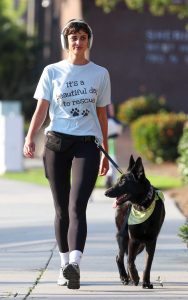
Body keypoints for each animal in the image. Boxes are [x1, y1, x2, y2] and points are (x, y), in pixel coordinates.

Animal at [105, 155, 165, 288]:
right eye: (117, 180)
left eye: (123, 181)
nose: (106, 192)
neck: (142, 205)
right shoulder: (133, 239)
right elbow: (130, 261)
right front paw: (135, 276)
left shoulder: (151, 242)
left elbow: (147, 264)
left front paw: (146, 282)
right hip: (123, 237)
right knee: (120, 257)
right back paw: (125, 277)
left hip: (140, 245)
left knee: (128, 257)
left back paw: (130, 278)